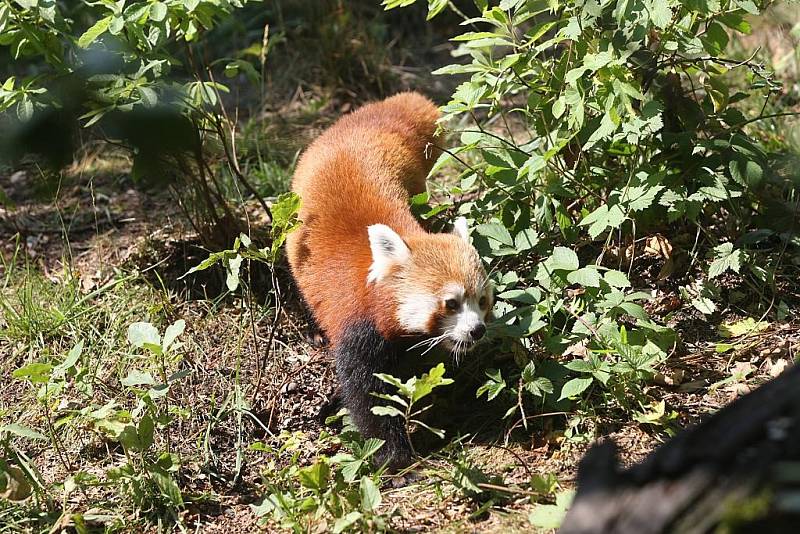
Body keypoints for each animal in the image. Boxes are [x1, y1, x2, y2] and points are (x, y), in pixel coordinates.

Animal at [282, 94, 494, 472]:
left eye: (481, 301)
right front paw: (394, 458)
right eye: (451, 303)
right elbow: (368, 397)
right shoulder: (359, 328)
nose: (477, 330)